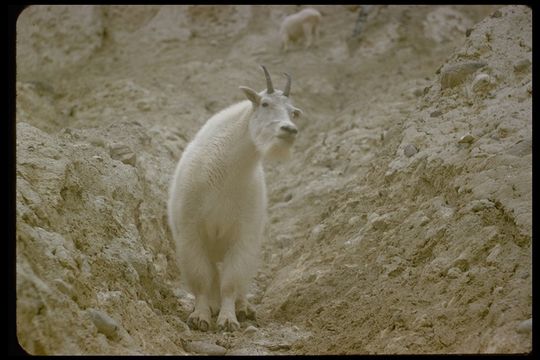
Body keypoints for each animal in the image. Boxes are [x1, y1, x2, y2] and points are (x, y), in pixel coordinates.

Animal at [168, 65, 302, 332]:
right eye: (265, 103)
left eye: (293, 112)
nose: (289, 131)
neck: (226, 173)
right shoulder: (191, 232)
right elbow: (202, 279)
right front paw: (200, 316)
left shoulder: (243, 235)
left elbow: (230, 282)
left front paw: (228, 319)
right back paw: (212, 306)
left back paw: (244, 308)